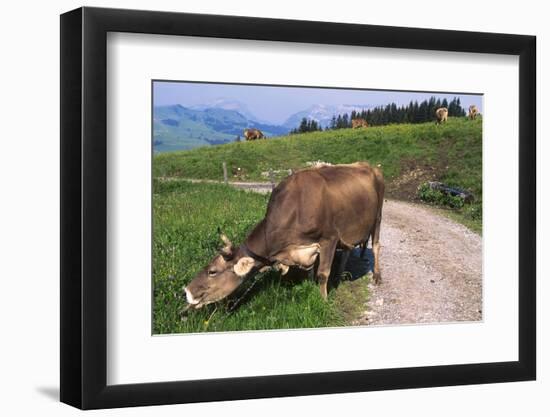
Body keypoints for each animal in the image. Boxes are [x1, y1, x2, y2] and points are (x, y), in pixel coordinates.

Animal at [183, 162, 386, 308]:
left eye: (212, 271)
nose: (187, 292)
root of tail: (369, 165)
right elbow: (311, 271)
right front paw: (311, 286)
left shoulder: (329, 239)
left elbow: (322, 273)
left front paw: (323, 300)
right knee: (347, 250)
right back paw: (340, 275)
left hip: (377, 217)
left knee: (376, 245)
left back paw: (377, 276)